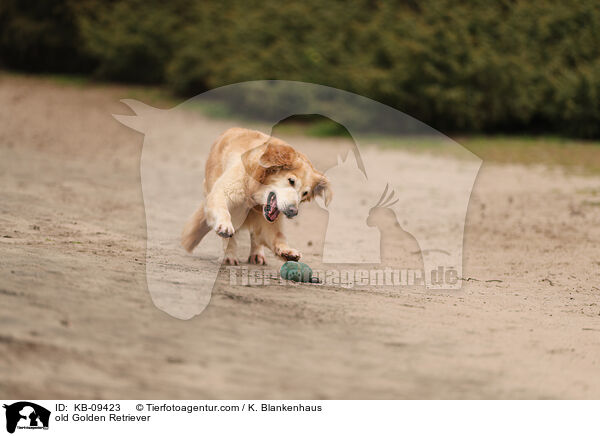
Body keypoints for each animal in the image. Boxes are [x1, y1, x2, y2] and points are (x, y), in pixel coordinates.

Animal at [182, 127, 332, 264]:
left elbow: (277, 235)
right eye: (291, 181)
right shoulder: (222, 192)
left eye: (305, 193)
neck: (254, 195)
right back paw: (228, 255)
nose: (293, 212)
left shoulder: (269, 220)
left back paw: (257, 255)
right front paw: (225, 229)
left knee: (256, 237)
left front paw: (286, 251)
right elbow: (224, 213)